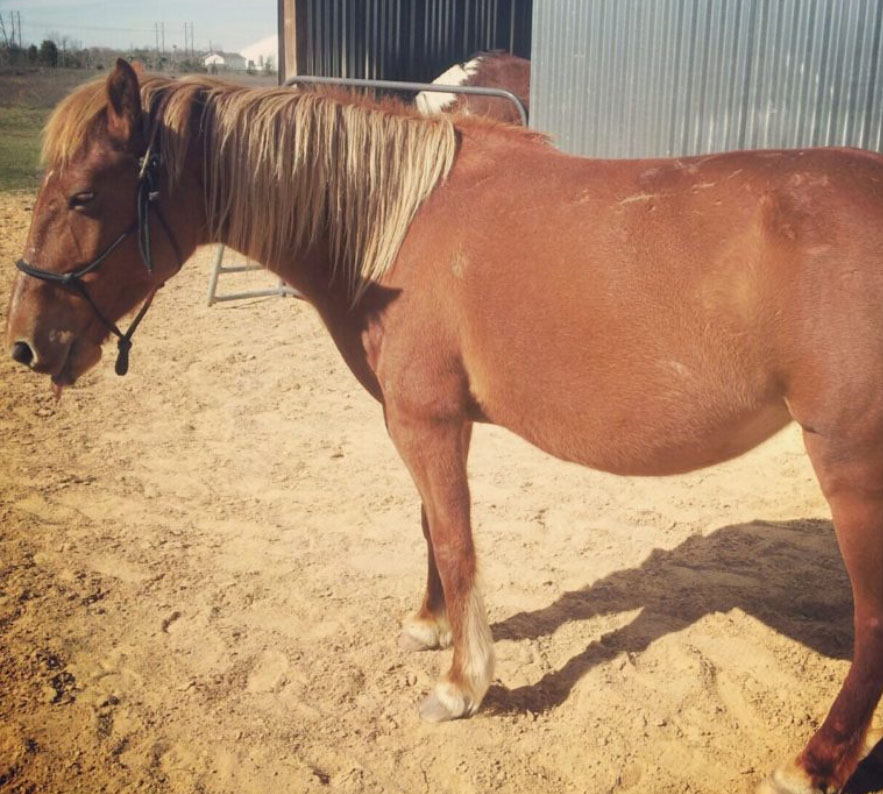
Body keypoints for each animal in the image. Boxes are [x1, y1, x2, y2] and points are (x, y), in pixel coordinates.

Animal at [5, 58, 883, 788]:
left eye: (82, 197)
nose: (26, 344)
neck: (398, 224)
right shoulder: (418, 421)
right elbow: (429, 526)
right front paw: (428, 628)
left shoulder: (426, 421)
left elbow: (456, 543)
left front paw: (461, 685)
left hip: (851, 473)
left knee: (870, 622)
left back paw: (810, 766)